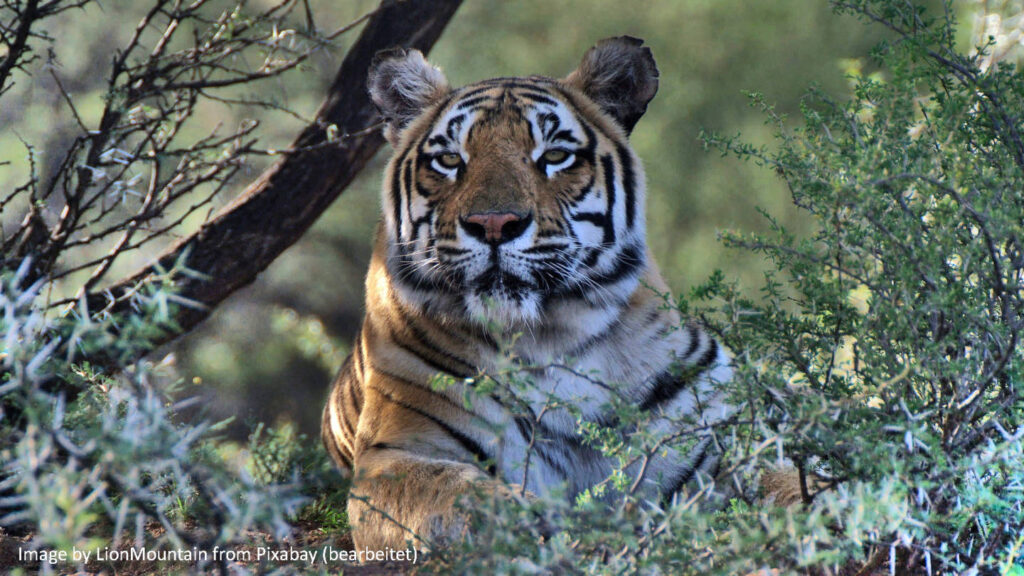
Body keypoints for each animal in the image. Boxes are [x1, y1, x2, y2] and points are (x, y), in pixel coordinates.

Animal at [319, 36, 737, 553]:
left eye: (554, 156)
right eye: (450, 160)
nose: (494, 223)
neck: (550, 337)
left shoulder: (709, 451)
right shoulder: (395, 454)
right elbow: (458, 494)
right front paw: (537, 524)